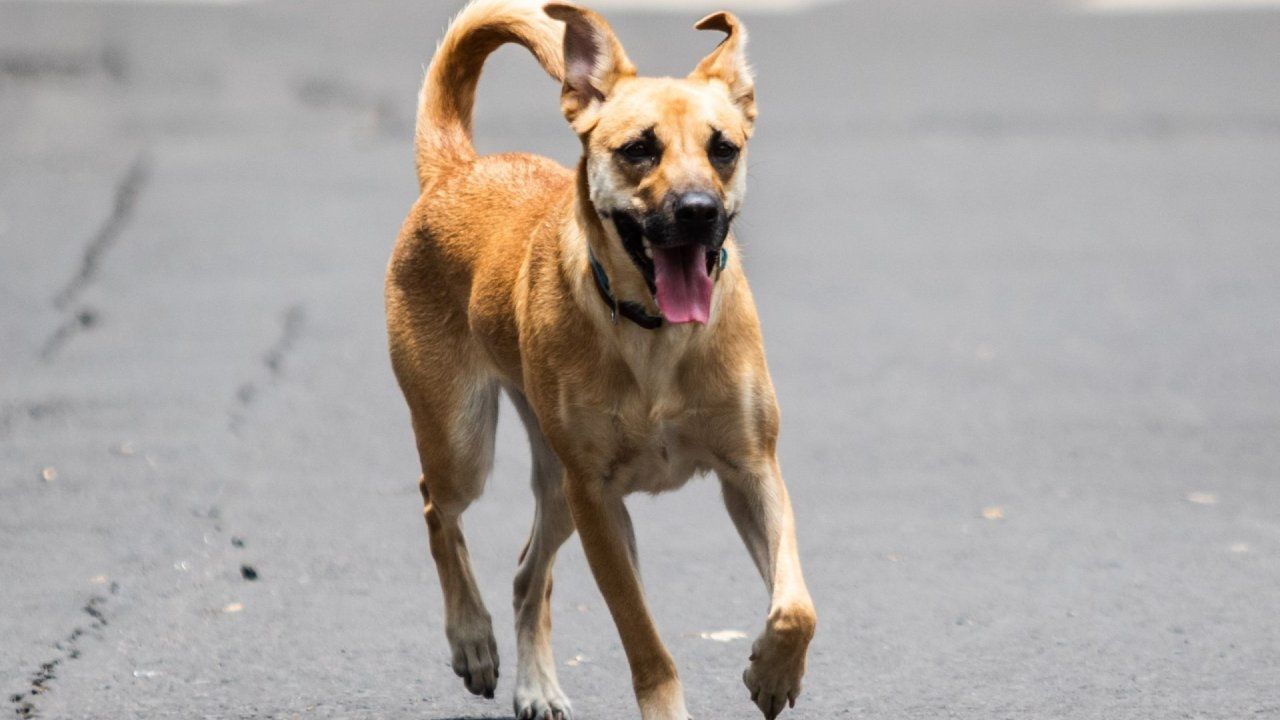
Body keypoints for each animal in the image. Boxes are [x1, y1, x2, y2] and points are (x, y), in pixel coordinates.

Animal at [384, 2, 814, 712]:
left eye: (723, 149)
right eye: (639, 149)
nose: (698, 212)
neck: (657, 336)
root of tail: (457, 170)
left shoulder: (753, 470)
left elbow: (796, 606)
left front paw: (775, 671)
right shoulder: (597, 501)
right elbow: (646, 644)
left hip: (553, 483)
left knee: (527, 575)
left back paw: (536, 685)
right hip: (464, 445)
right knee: (435, 508)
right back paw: (472, 639)